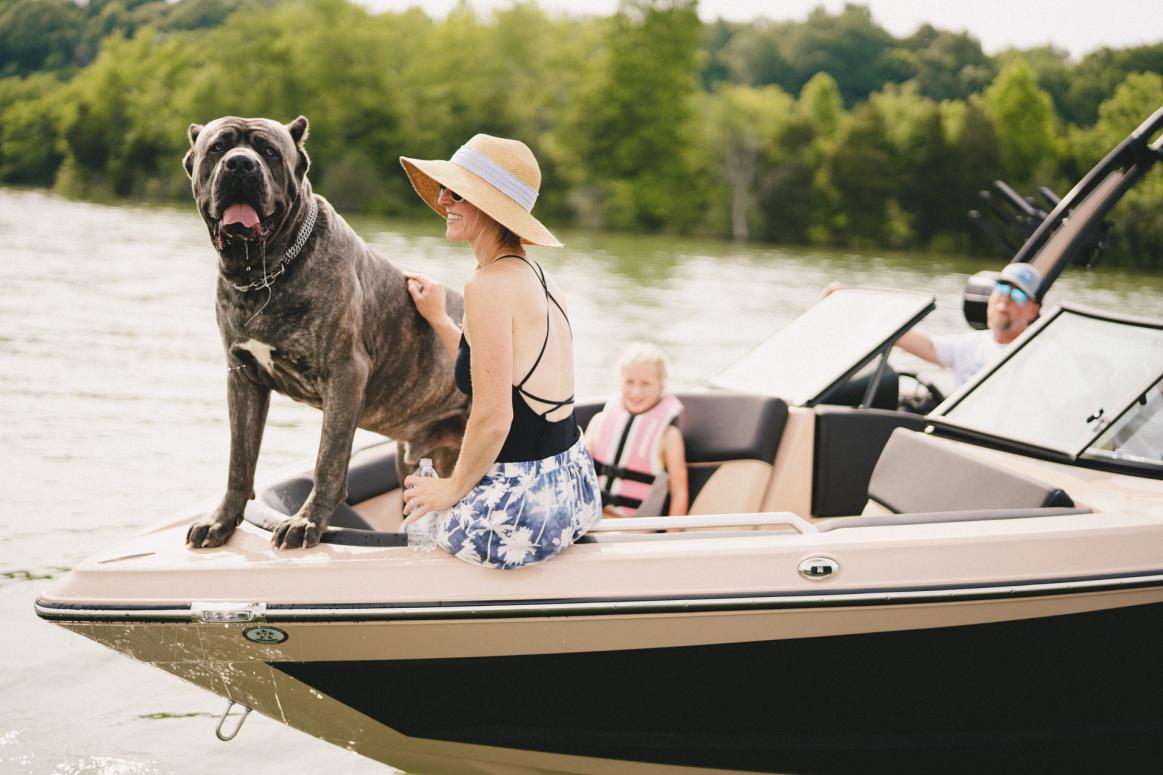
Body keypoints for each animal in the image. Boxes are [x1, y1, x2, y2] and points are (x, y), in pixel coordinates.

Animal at [181, 116, 462, 549]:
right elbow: (239, 460)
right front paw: (222, 520)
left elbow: (328, 459)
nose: (241, 165)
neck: (264, 275)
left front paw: (306, 521)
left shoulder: (345, 374)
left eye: (269, 152)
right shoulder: (242, 377)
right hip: (416, 459)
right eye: (217, 148)